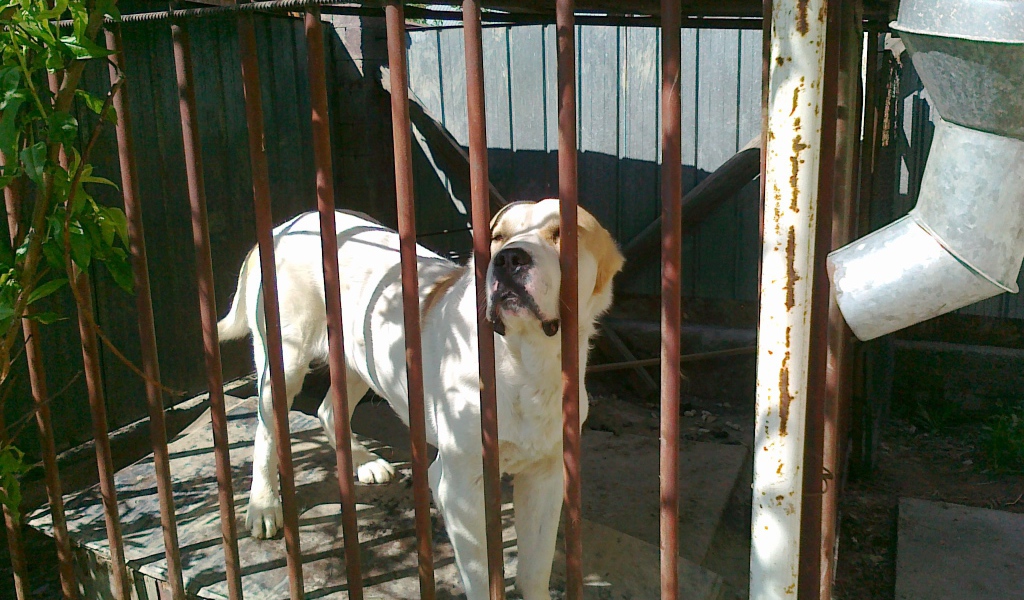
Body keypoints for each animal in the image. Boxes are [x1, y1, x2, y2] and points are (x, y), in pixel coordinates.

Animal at [217, 199, 624, 600]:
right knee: (266, 430)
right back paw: (263, 505)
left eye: (563, 233)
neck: (525, 361)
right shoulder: (459, 487)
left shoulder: (544, 478)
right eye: (497, 236)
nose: (509, 258)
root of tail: (284, 226)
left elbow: (536, 570)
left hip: (360, 359)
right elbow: (481, 576)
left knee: (328, 410)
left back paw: (364, 462)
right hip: (286, 361)